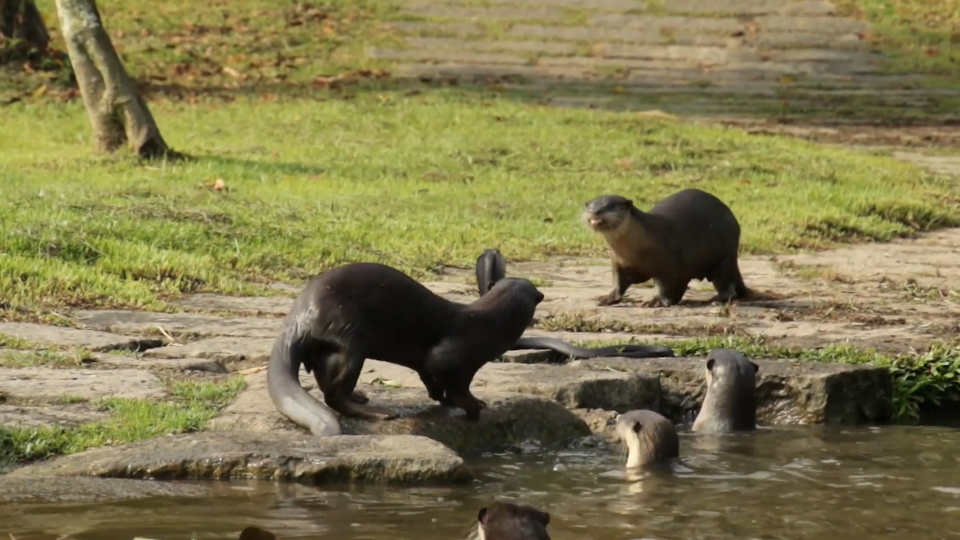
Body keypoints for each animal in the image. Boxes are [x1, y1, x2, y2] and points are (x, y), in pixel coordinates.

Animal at [266, 260, 544, 434]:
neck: (490, 324)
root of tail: (300, 318)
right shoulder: (452, 357)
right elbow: (449, 376)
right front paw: (475, 407)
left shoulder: (425, 365)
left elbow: (433, 383)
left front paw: (448, 400)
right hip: (351, 340)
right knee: (333, 395)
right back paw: (379, 411)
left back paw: (360, 396)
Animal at [576, 188, 752, 308]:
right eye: (589, 206)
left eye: (609, 206)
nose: (595, 211)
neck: (636, 251)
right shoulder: (618, 262)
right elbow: (618, 282)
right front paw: (608, 297)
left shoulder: (669, 266)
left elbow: (666, 286)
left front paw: (657, 301)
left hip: (725, 257)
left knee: (725, 283)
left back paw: (717, 299)